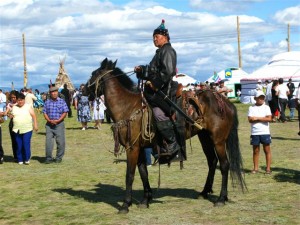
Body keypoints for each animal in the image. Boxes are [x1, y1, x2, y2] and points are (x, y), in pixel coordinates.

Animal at [86, 58, 246, 213]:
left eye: (94, 73)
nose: (83, 89)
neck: (126, 106)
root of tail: (225, 102)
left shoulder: (132, 148)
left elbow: (129, 175)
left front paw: (125, 205)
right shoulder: (139, 148)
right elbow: (143, 172)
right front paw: (145, 200)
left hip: (218, 140)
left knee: (224, 165)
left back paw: (221, 198)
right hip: (205, 137)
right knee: (212, 161)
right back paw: (204, 192)